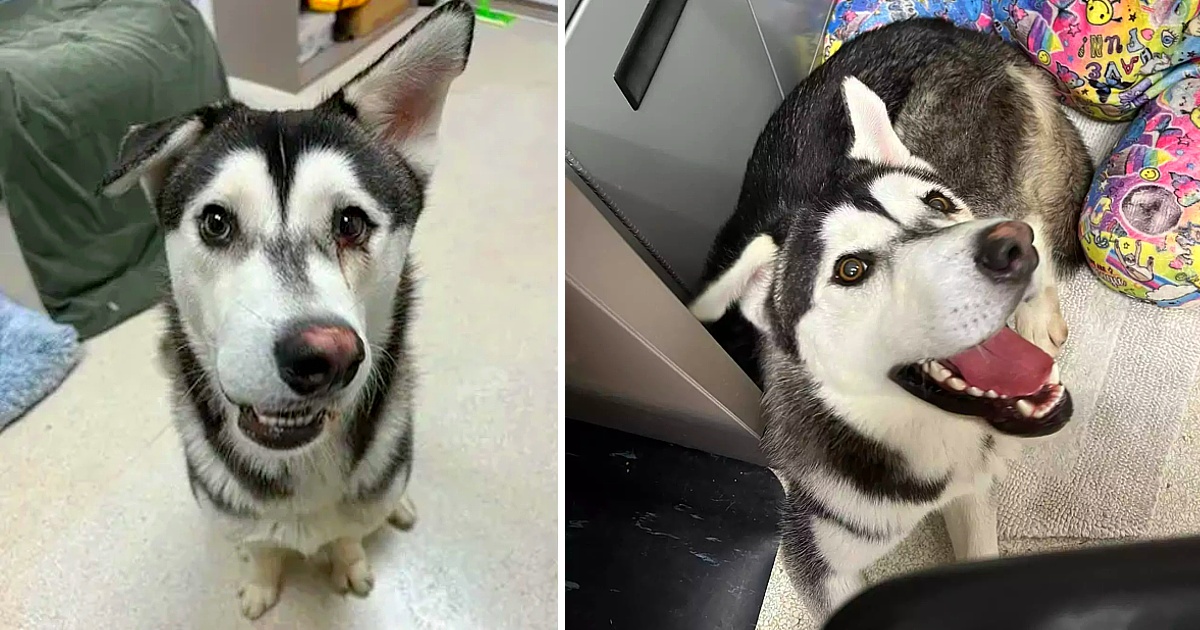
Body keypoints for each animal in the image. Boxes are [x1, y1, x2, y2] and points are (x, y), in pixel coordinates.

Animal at [97, 1, 472, 619]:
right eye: (216, 222)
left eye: (351, 223)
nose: (323, 356)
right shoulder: (230, 512)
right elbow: (259, 547)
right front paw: (259, 583)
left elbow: (347, 534)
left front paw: (350, 564)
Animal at [691, 18, 1094, 619]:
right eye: (851, 270)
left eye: (938, 203)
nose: (1007, 250)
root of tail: (961, 31)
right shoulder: (820, 555)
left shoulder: (970, 489)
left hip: (1000, 190)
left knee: (1040, 229)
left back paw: (1038, 308)